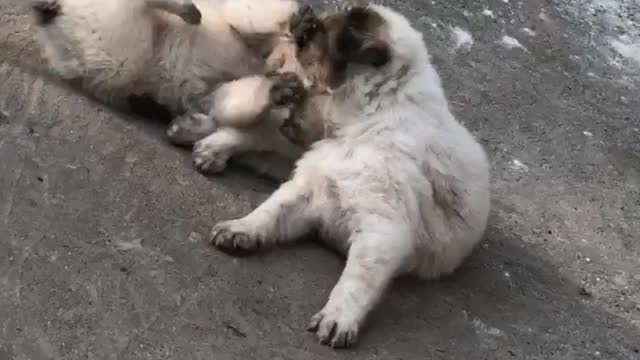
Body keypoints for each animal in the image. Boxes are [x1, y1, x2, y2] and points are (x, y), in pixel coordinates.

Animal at [205, 5, 490, 348]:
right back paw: (211, 145)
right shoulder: (308, 189)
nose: (302, 21)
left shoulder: (381, 230)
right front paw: (241, 228)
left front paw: (339, 317)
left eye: (320, 33)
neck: (367, 119)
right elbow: (269, 211)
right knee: (258, 135)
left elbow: (357, 279)